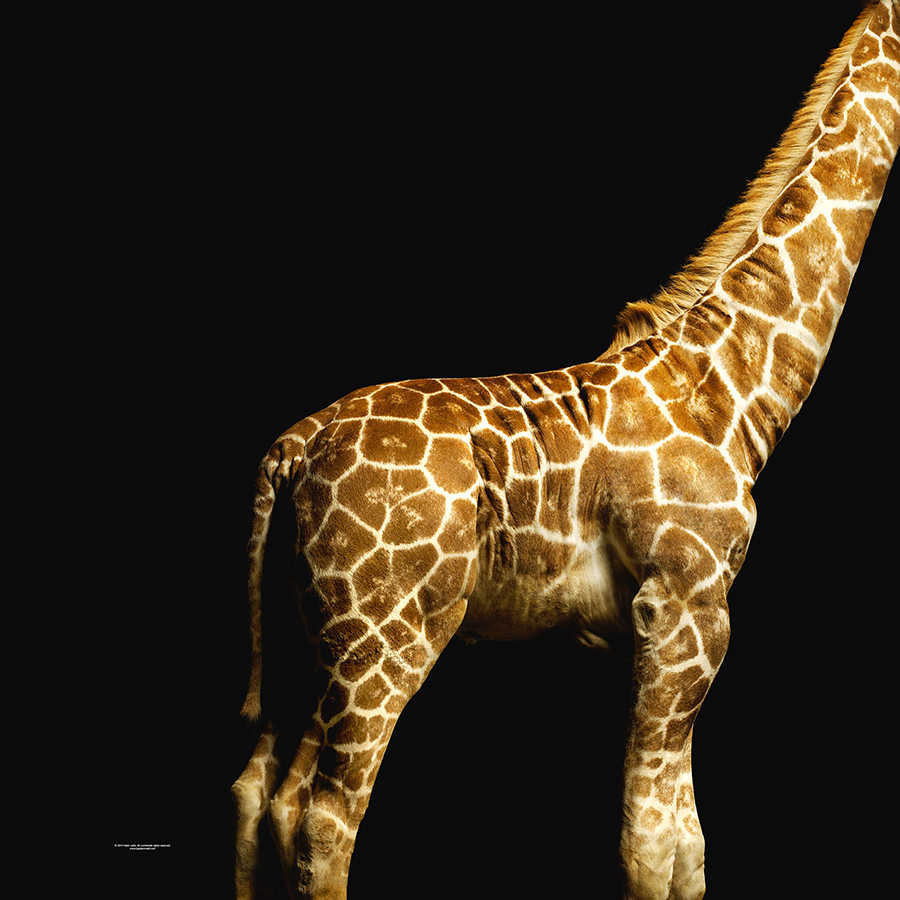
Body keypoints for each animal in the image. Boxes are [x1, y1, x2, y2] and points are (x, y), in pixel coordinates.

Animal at [232, 3, 899, 897]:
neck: (728, 385)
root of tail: (292, 450)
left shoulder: (685, 618)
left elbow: (688, 847)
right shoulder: (684, 602)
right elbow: (649, 844)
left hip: (307, 640)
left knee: (261, 795)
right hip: (385, 635)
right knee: (325, 818)